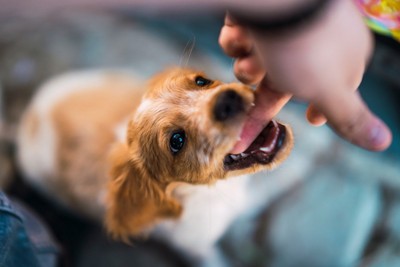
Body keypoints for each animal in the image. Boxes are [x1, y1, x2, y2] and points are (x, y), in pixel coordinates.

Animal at [17, 67, 292, 266]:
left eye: (201, 81)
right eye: (177, 141)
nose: (227, 99)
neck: (209, 191)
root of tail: (30, 114)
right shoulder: (197, 247)